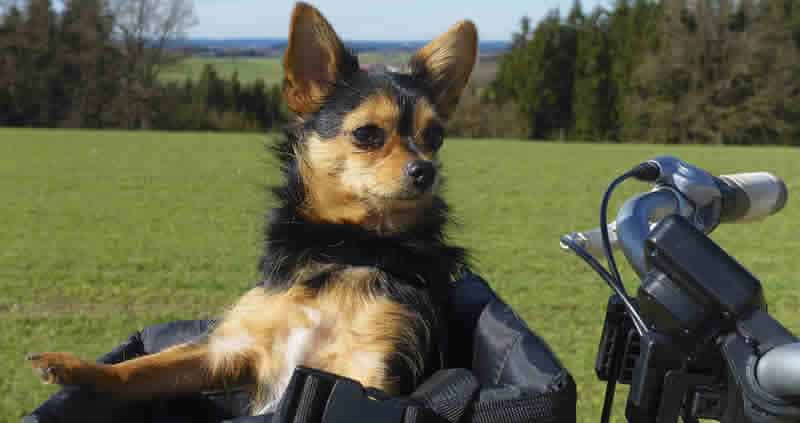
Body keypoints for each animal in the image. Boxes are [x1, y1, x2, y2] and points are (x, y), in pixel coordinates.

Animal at [26, 1, 476, 416]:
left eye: (435, 137)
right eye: (367, 134)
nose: (426, 171)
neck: (345, 246)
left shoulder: (371, 373)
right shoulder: (229, 348)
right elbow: (145, 366)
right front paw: (76, 367)